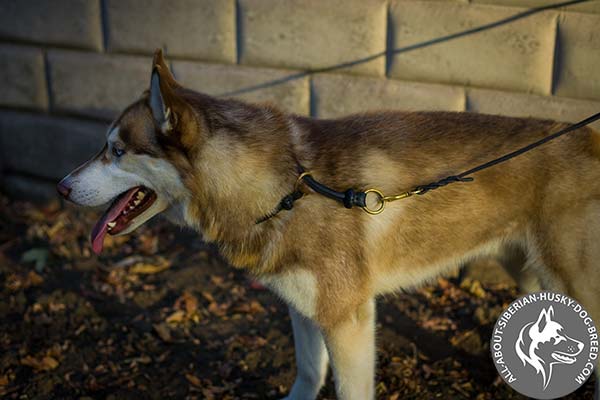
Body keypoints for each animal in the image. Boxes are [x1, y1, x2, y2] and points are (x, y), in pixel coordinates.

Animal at [57, 50, 600, 400]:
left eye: (116, 150)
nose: (60, 187)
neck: (282, 191)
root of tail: (585, 136)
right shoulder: (302, 309)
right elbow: (306, 374)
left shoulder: (348, 319)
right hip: (528, 270)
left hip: (568, 276)